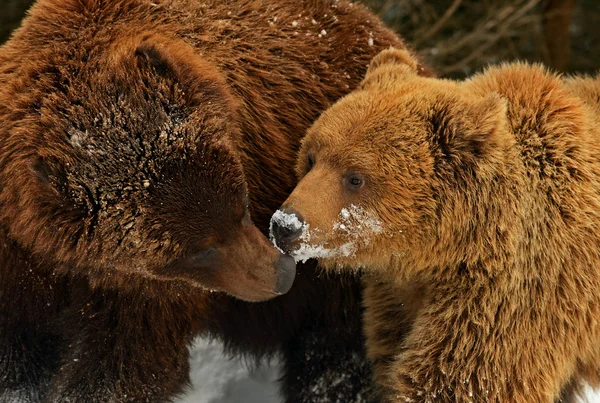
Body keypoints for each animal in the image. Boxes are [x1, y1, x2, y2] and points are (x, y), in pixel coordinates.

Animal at [0, 0, 432, 403]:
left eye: (242, 205)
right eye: (198, 250)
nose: (281, 275)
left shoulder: (142, 291)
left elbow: (126, 360)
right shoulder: (22, 256)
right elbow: (21, 352)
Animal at [270, 49, 600, 403]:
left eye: (355, 177)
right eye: (311, 157)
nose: (285, 225)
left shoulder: (515, 290)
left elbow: (457, 378)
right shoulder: (396, 295)